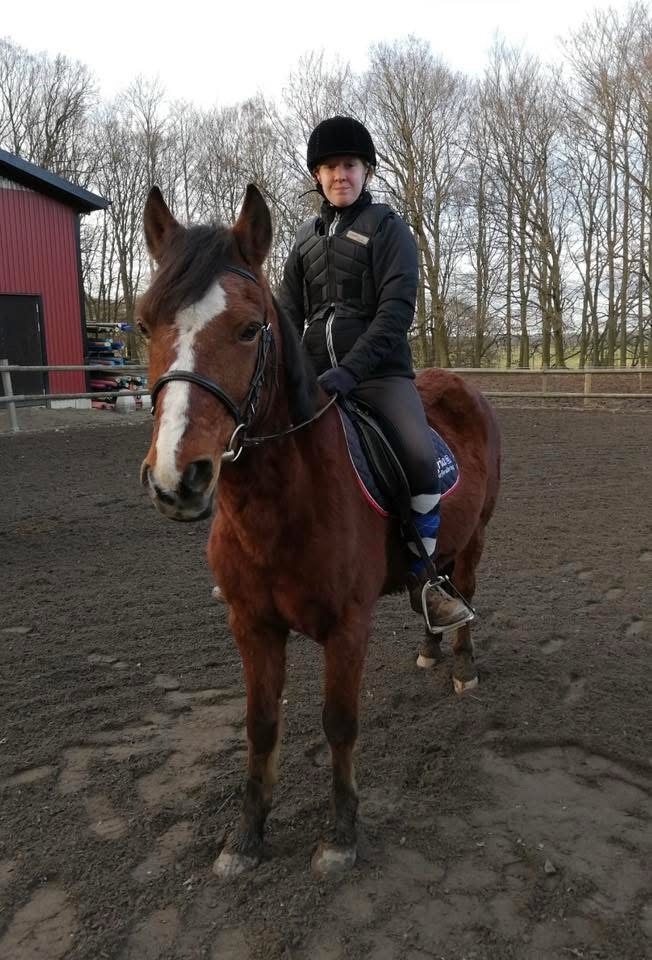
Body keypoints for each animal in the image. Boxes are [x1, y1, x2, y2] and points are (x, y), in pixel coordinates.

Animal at [138, 183, 501, 878]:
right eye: (144, 324)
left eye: (249, 329)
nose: (178, 477)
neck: (277, 510)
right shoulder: (251, 625)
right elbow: (260, 726)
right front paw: (246, 837)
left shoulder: (346, 627)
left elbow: (339, 723)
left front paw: (340, 835)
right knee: (431, 576)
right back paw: (431, 642)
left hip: (475, 538)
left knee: (465, 590)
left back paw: (462, 664)